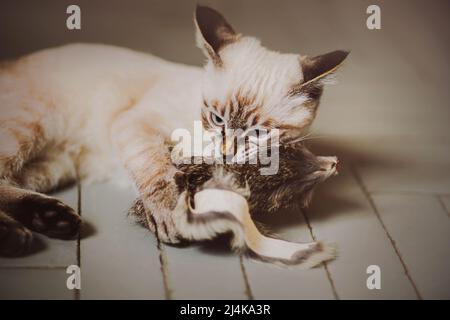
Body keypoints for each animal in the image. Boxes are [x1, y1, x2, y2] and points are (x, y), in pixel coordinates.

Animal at [0, 5, 348, 255]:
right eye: (216, 118)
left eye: (259, 134)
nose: (227, 152)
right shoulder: (136, 124)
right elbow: (158, 171)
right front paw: (170, 211)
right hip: (29, 130)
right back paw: (19, 237)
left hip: (50, 166)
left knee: (8, 185)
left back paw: (49, 221)